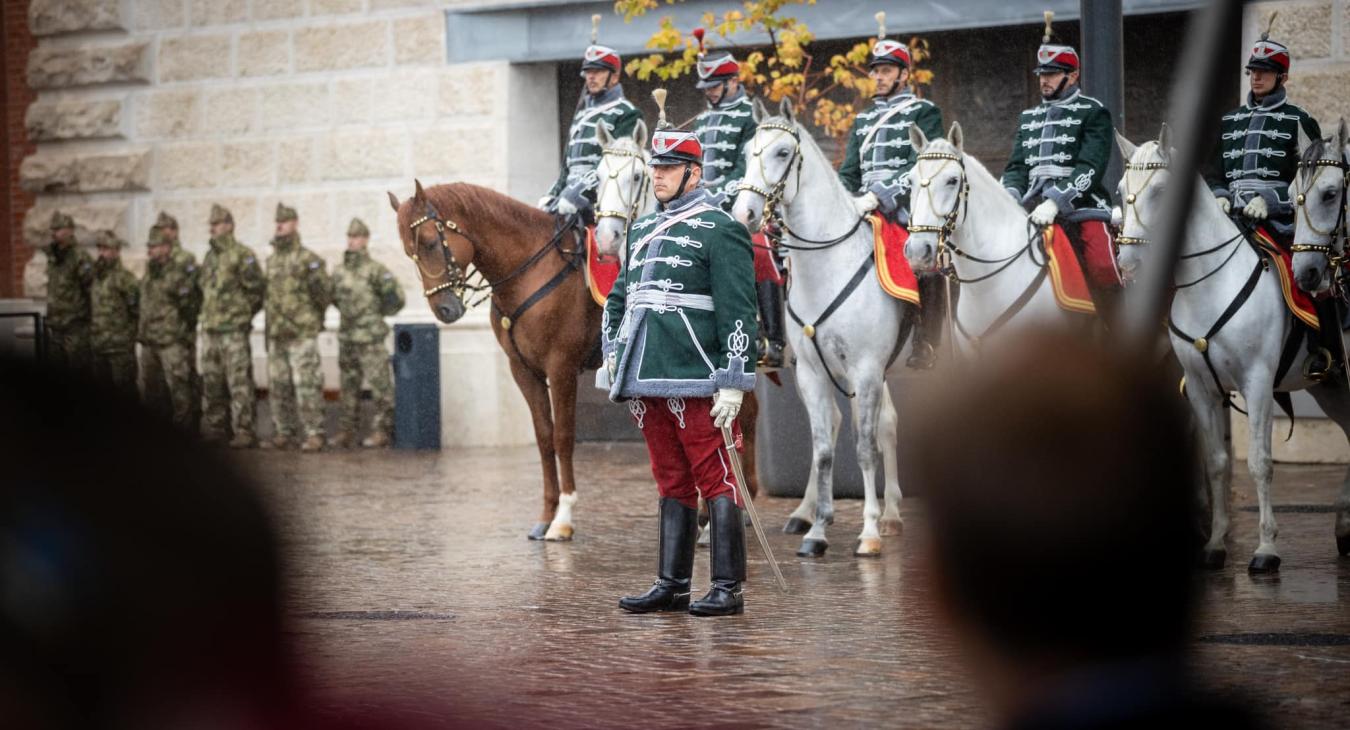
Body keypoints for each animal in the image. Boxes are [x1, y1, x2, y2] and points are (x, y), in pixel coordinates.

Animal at [388, 179, 761, 537]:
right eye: (408, 252)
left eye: (430, 243)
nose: (444, 309)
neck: (529, 272)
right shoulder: (523, 370)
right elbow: (543, 437)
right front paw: (546, 514)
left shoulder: (561, 368)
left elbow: (563, 437)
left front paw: (563, 517)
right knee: (746, 413)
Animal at [734, 95, 912, 553]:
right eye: (748, 153)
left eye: (783, 152)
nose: (744, 212)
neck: (829, 264)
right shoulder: (814, 371)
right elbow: (823, 447)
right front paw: (818, 529)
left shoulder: (865, 369)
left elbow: (863, 447)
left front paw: (868, 531)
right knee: (873, 423)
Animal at [1112, 125, 1350, 569]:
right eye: (1120, 190)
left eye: (1163, 191)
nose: (1128, 262)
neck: (1207, 284)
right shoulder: (1201, 389)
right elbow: (1217, 463)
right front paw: (1216, 542)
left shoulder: (1257, 383)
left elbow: (1259, 462)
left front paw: (1266, 547)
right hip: (1329, 386)